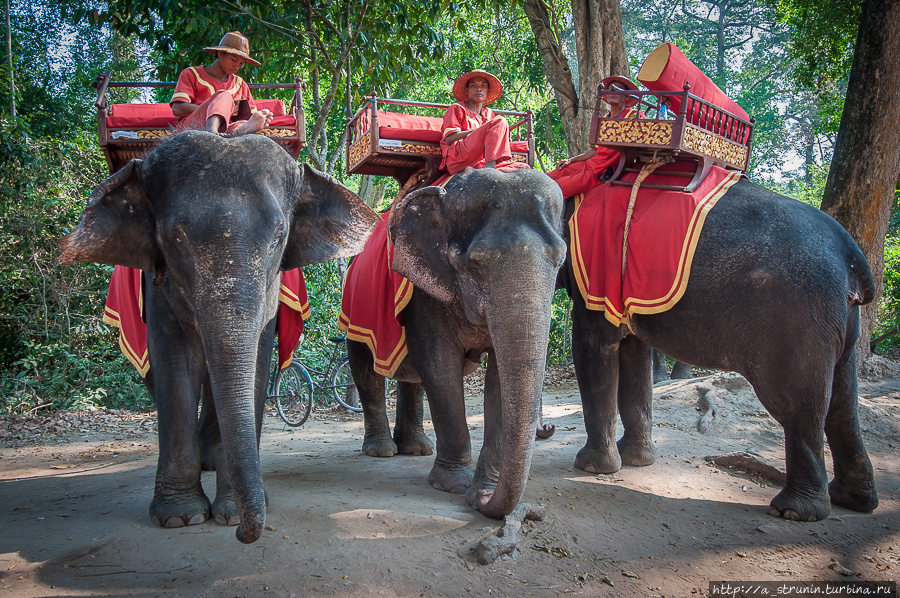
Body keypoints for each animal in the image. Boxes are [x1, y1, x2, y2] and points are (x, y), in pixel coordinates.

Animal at [59, 131, 376, 544]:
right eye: (174, 238)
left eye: (279, 237)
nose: (244, 533)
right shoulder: (158, 283)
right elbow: (175, 363)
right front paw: (180, 518)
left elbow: (255, 362)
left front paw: (230, 512)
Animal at [348, 169, 568, 520]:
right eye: (477, 262)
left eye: (560, 261)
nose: (480, 501)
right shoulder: (422, 290)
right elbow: (439, 364)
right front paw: (453, 486)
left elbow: (499, 380)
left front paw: (482, 487)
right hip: (355, 311)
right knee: (365, 369)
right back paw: (382, 451)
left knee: (412, 379)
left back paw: (415, 449)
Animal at [564, 176, 880, 524]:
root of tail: (852, 257)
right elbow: (633, 352)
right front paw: (637, 459)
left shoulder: (595, 270)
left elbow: (592, 345)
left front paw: (591, 467)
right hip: (842, 320)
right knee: (843, 403)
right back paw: (852, 499)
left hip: (800, 321)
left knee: (798, 405)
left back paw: (794, 511)